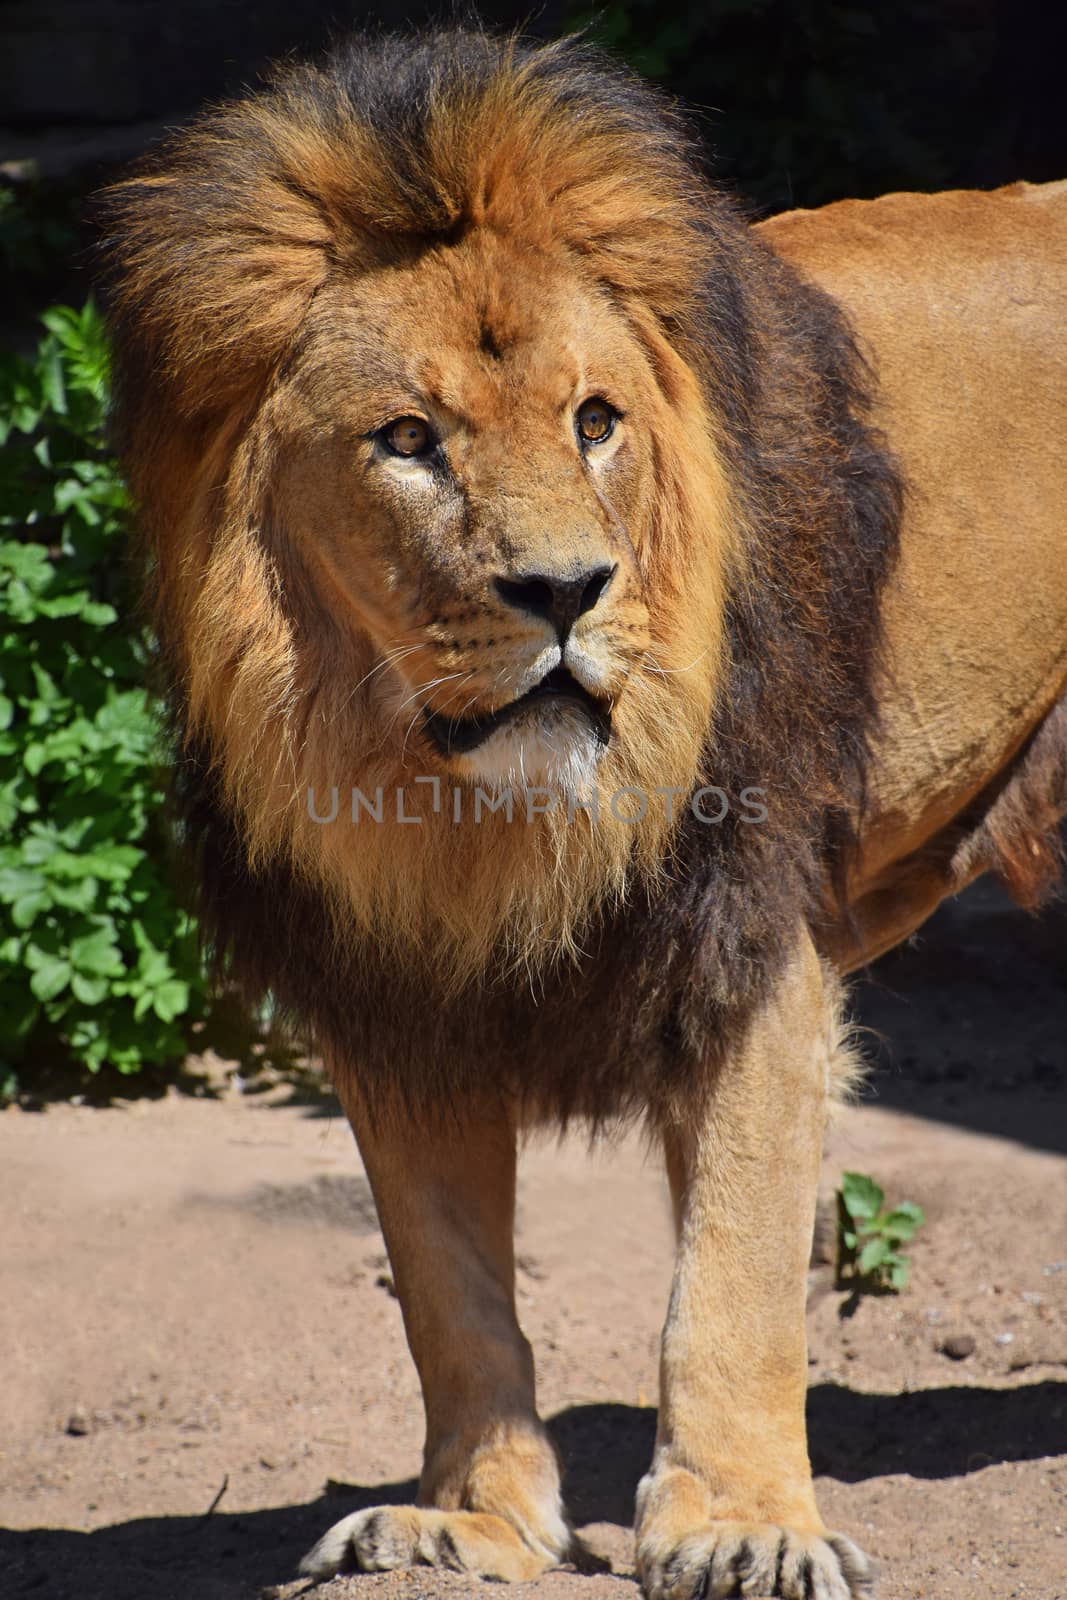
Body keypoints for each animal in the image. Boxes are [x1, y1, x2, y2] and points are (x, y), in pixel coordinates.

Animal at [95, 25, 1062, 1600]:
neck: (464, 819)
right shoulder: (389, 992)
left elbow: (728, 1273)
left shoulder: (746, 944)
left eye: (594, 422)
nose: (564, 591)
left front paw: (740, 1525)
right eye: (407, 439)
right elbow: (445, 1286)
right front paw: (465, 1519)